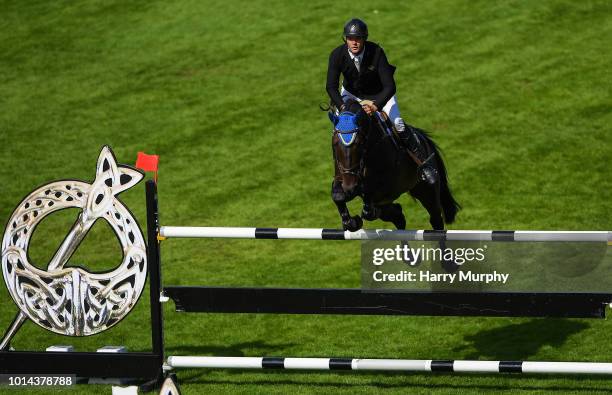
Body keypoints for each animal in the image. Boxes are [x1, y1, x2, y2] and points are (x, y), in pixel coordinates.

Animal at [330, 100, 460, 237]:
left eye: (359, 143)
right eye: (335, 143)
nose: (349, 187)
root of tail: (422, 138)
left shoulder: (385, 187)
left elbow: (368, 200)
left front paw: (360, 217)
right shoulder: (342, 178)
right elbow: (338, 196)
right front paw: (352, 222)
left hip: (427, 191)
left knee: (436, 219)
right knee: (397, 215)